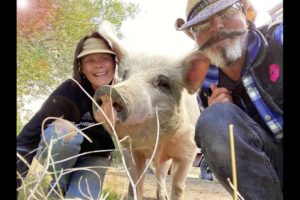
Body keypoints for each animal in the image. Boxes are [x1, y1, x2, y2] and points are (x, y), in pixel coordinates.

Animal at [92, 21, 205, 199]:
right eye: (125, 75)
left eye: (163, 83)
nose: (108, 91)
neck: (154, 142)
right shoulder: (129, 148)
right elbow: (135, 180)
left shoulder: (189, 150)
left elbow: (178, 185)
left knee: (161, 172)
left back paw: (162, 196)